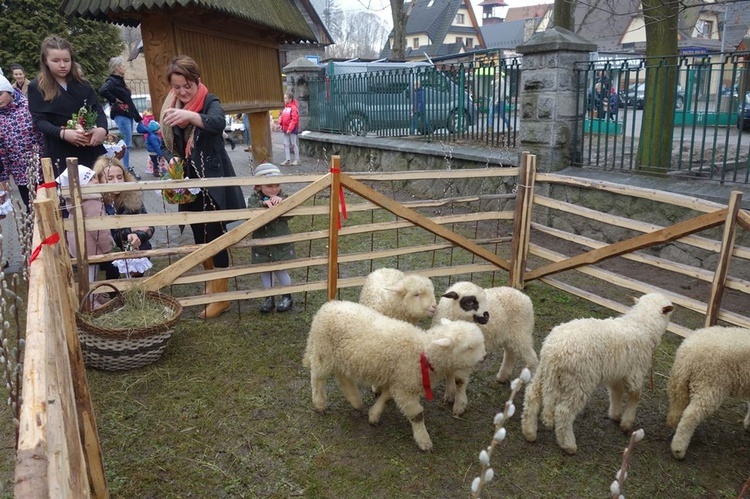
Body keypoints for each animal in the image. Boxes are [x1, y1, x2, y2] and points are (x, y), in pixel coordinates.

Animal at [304, 300, 488, 454]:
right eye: (468, 348)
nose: (484, 357)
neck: (423, 352)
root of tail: (326, 307)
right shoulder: (405, 385)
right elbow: (417, 414)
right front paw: (424, 441)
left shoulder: (398, 381)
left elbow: (386, 397)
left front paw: (374, 415)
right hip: (323, 351)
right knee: (317, 377)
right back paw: (320, 403)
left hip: (343, 357)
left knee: (343, 376)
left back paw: (356, 401)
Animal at [524, 292, 676, 456]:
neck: (641, 325)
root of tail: (554, 353)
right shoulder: (635, 373)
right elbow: (635, 396)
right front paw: (627, 422)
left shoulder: (617, 373)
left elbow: (616, 393)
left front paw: (615, 415)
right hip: (579, 381)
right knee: (563, 412)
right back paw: (568, 445)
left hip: (544, 373)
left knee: (532, 395)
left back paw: (529, 432)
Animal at [668, 324, 750, 460]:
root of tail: (687, 354)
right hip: (709, 386)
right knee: (690, 416)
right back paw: (678, 449)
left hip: (680, 383)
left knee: (678, 407)